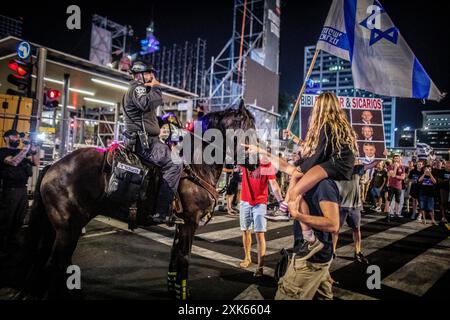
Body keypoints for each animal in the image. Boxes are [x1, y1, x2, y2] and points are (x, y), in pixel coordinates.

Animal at [19, 101, 255, 298]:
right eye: (248, 130)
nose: (255, 162)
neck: (196, 166)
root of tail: (53, 165)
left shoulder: (181, 225)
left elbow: (175, 258)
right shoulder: (190, 222)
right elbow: (184, 258)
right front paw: (183, 294)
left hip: (59, 228)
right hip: (68, 229)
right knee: (55, 265)